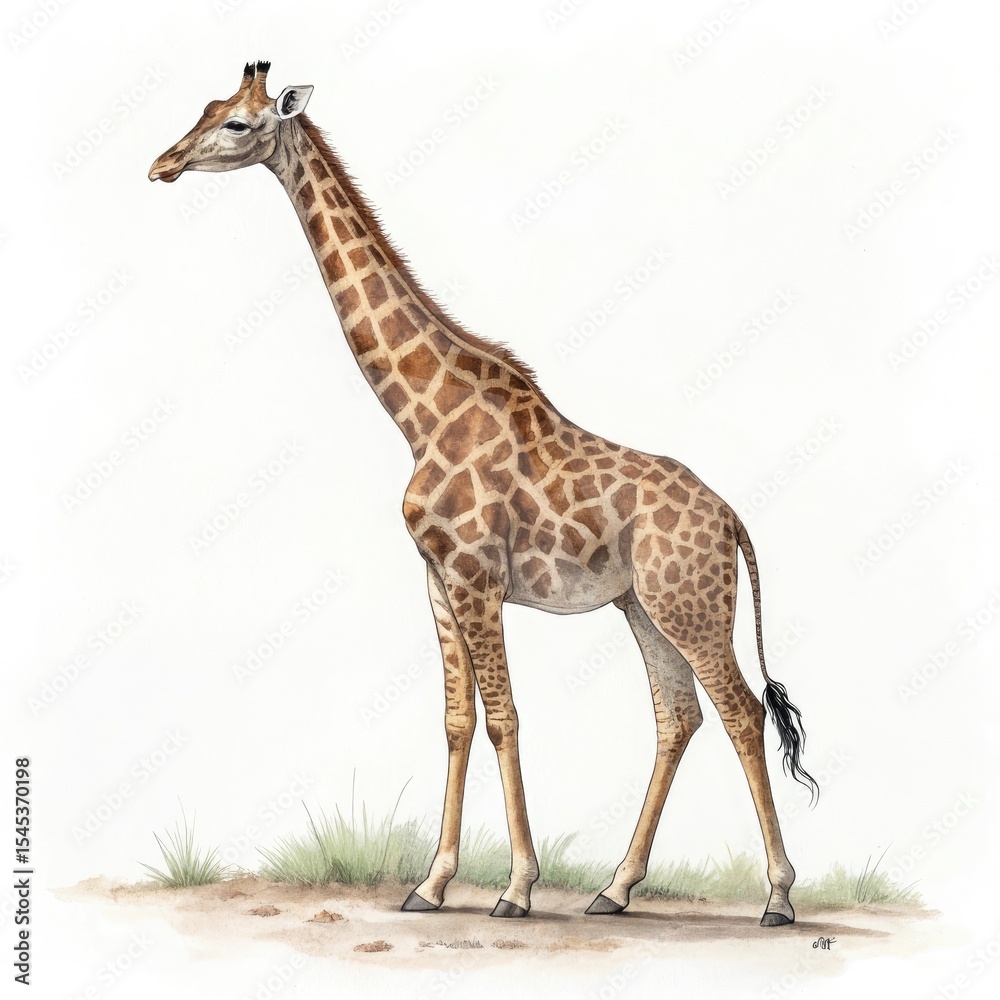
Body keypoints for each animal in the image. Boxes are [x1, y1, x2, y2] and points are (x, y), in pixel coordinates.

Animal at [150, 62, 819, 925]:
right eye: (206, 107)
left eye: (237, 123)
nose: (162, 165)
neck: (421, 414)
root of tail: (732, 517)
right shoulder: (437, 581)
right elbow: (458, 721)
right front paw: (431, 884)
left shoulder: (476, 577)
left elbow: (504, 719)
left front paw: (515, 887)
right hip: (643, 604)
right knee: (678, 714)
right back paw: (614, 888)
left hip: (690, 603)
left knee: (740, 708)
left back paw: (778, 897)